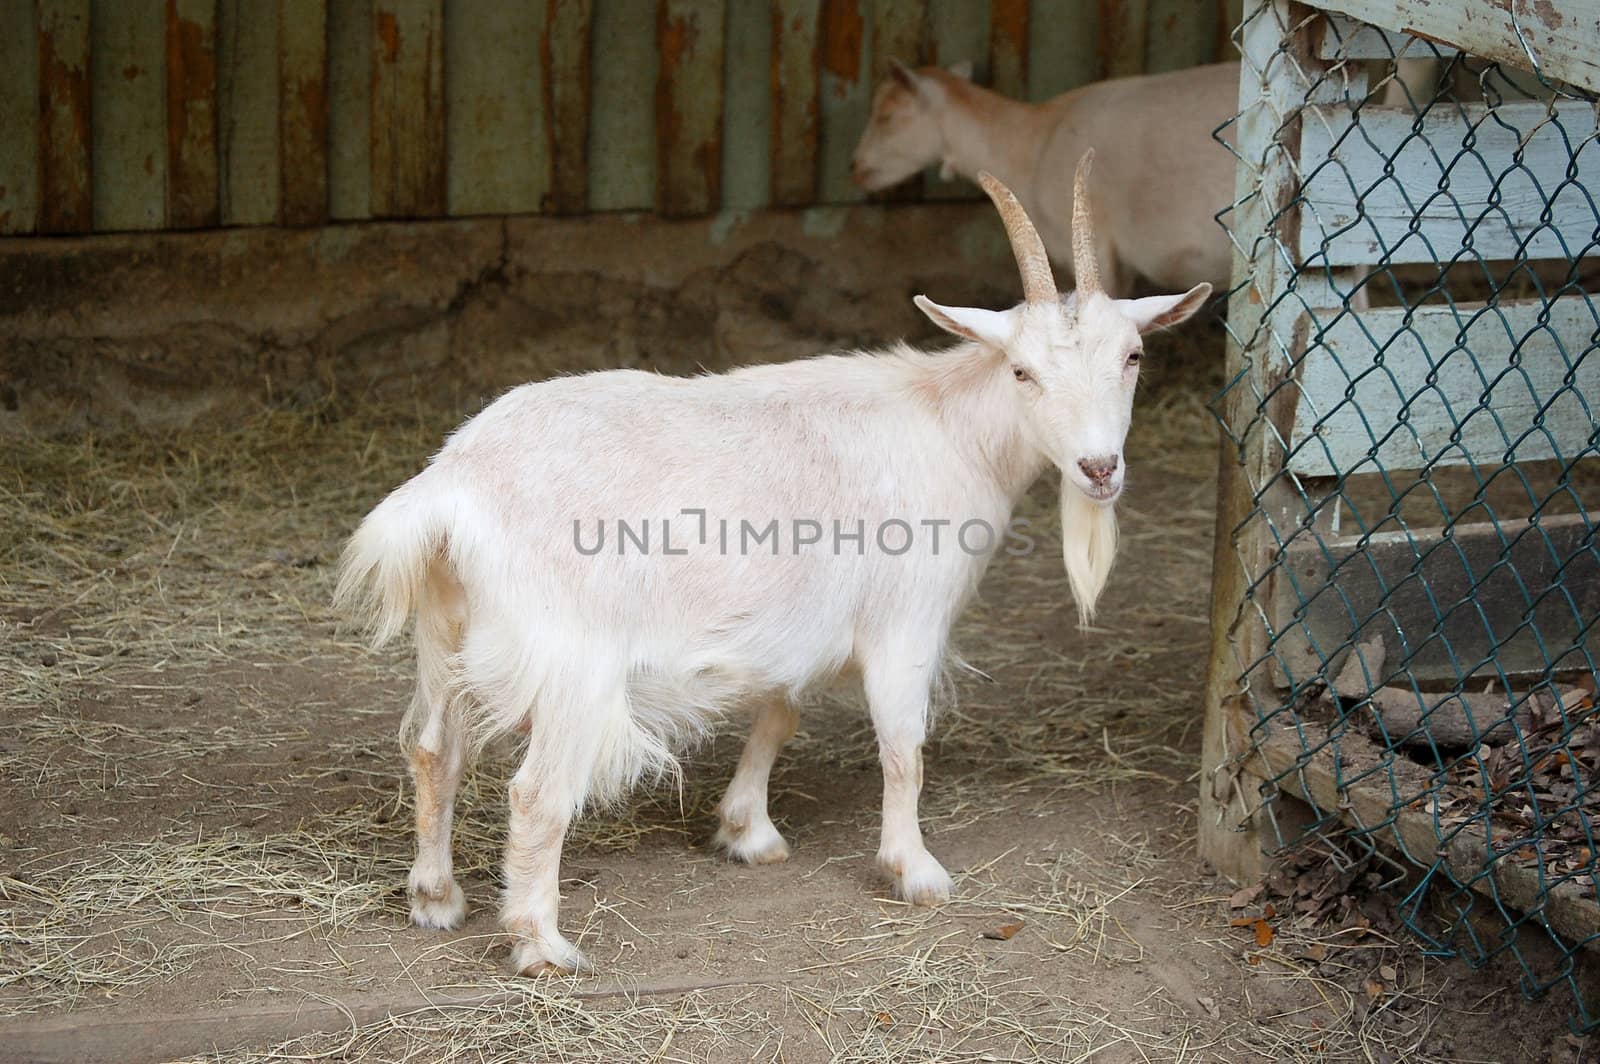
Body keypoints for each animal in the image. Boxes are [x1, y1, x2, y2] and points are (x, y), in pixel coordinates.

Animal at [340, 153, 1209, 972]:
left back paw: (436, 897)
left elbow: (779, 713)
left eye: (1133, 356)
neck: (950, 427)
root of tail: (452, 487)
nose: (1099, 468)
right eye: (1023, 371)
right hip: (571, 664)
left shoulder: (798, 624)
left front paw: (747, 830)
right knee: (537, 794)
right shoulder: (905, 623)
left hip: (446, 634)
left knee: (434, 751)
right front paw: (916, 870)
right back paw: (542, 945)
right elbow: (904, 747)